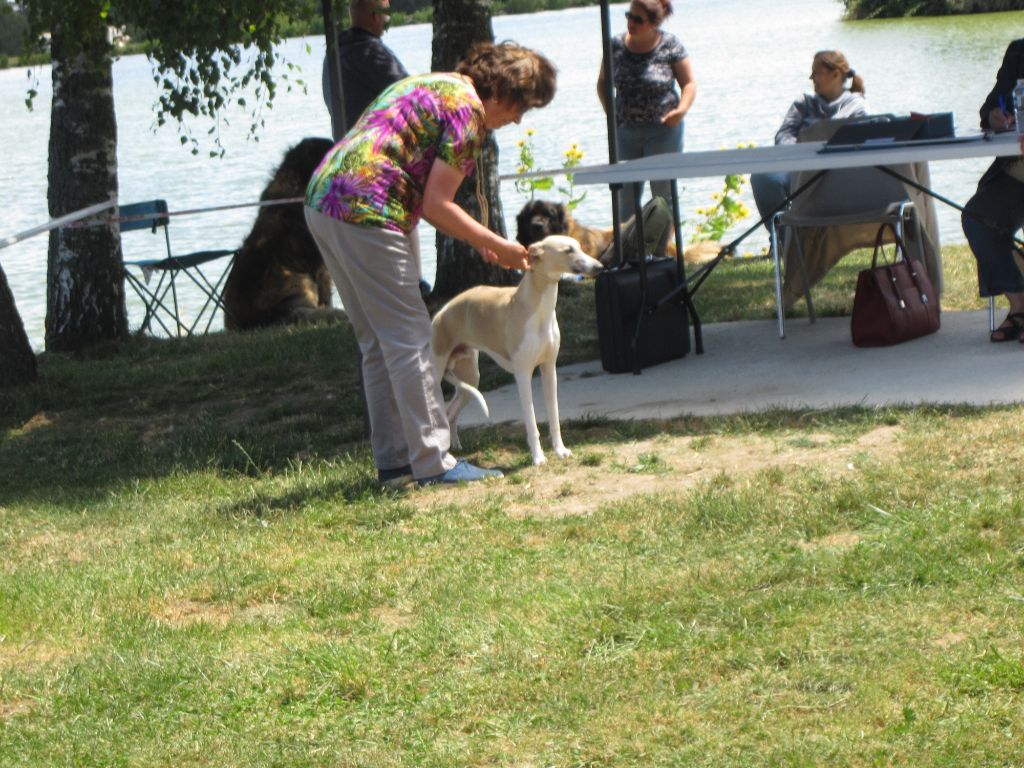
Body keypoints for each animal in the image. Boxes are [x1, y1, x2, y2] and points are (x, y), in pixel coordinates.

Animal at [430, 234, 598, 466]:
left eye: (579, 247)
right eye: (568, 250)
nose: (599, 267)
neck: (537, 309)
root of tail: (440, 314)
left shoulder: (549, 369)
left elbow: (554, 415)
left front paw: (560, 450)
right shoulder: (523, 374)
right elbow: (532, 421)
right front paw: (538, 457)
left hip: (470, 377)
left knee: (450, 412)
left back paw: (454, 447)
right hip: (437, 372)